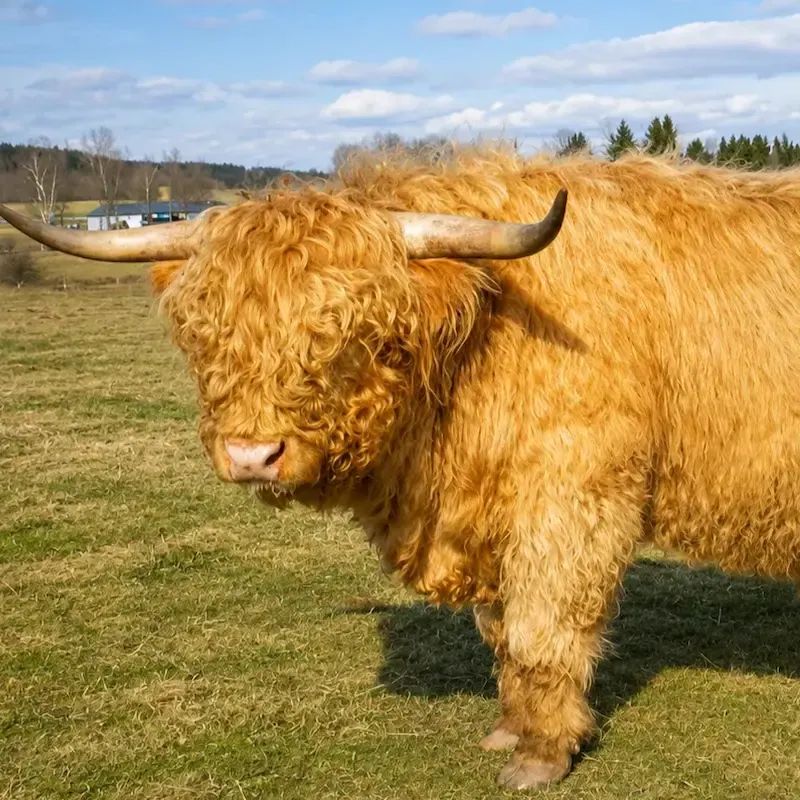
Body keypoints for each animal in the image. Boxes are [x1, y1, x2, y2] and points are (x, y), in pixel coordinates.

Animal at [2, 143, 800, 791]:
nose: (252, 454)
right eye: (208, 329)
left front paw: (541, 754)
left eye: (352, 331)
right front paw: (509, 728)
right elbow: (500, 629)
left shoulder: (574, 495)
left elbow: (542, 629)